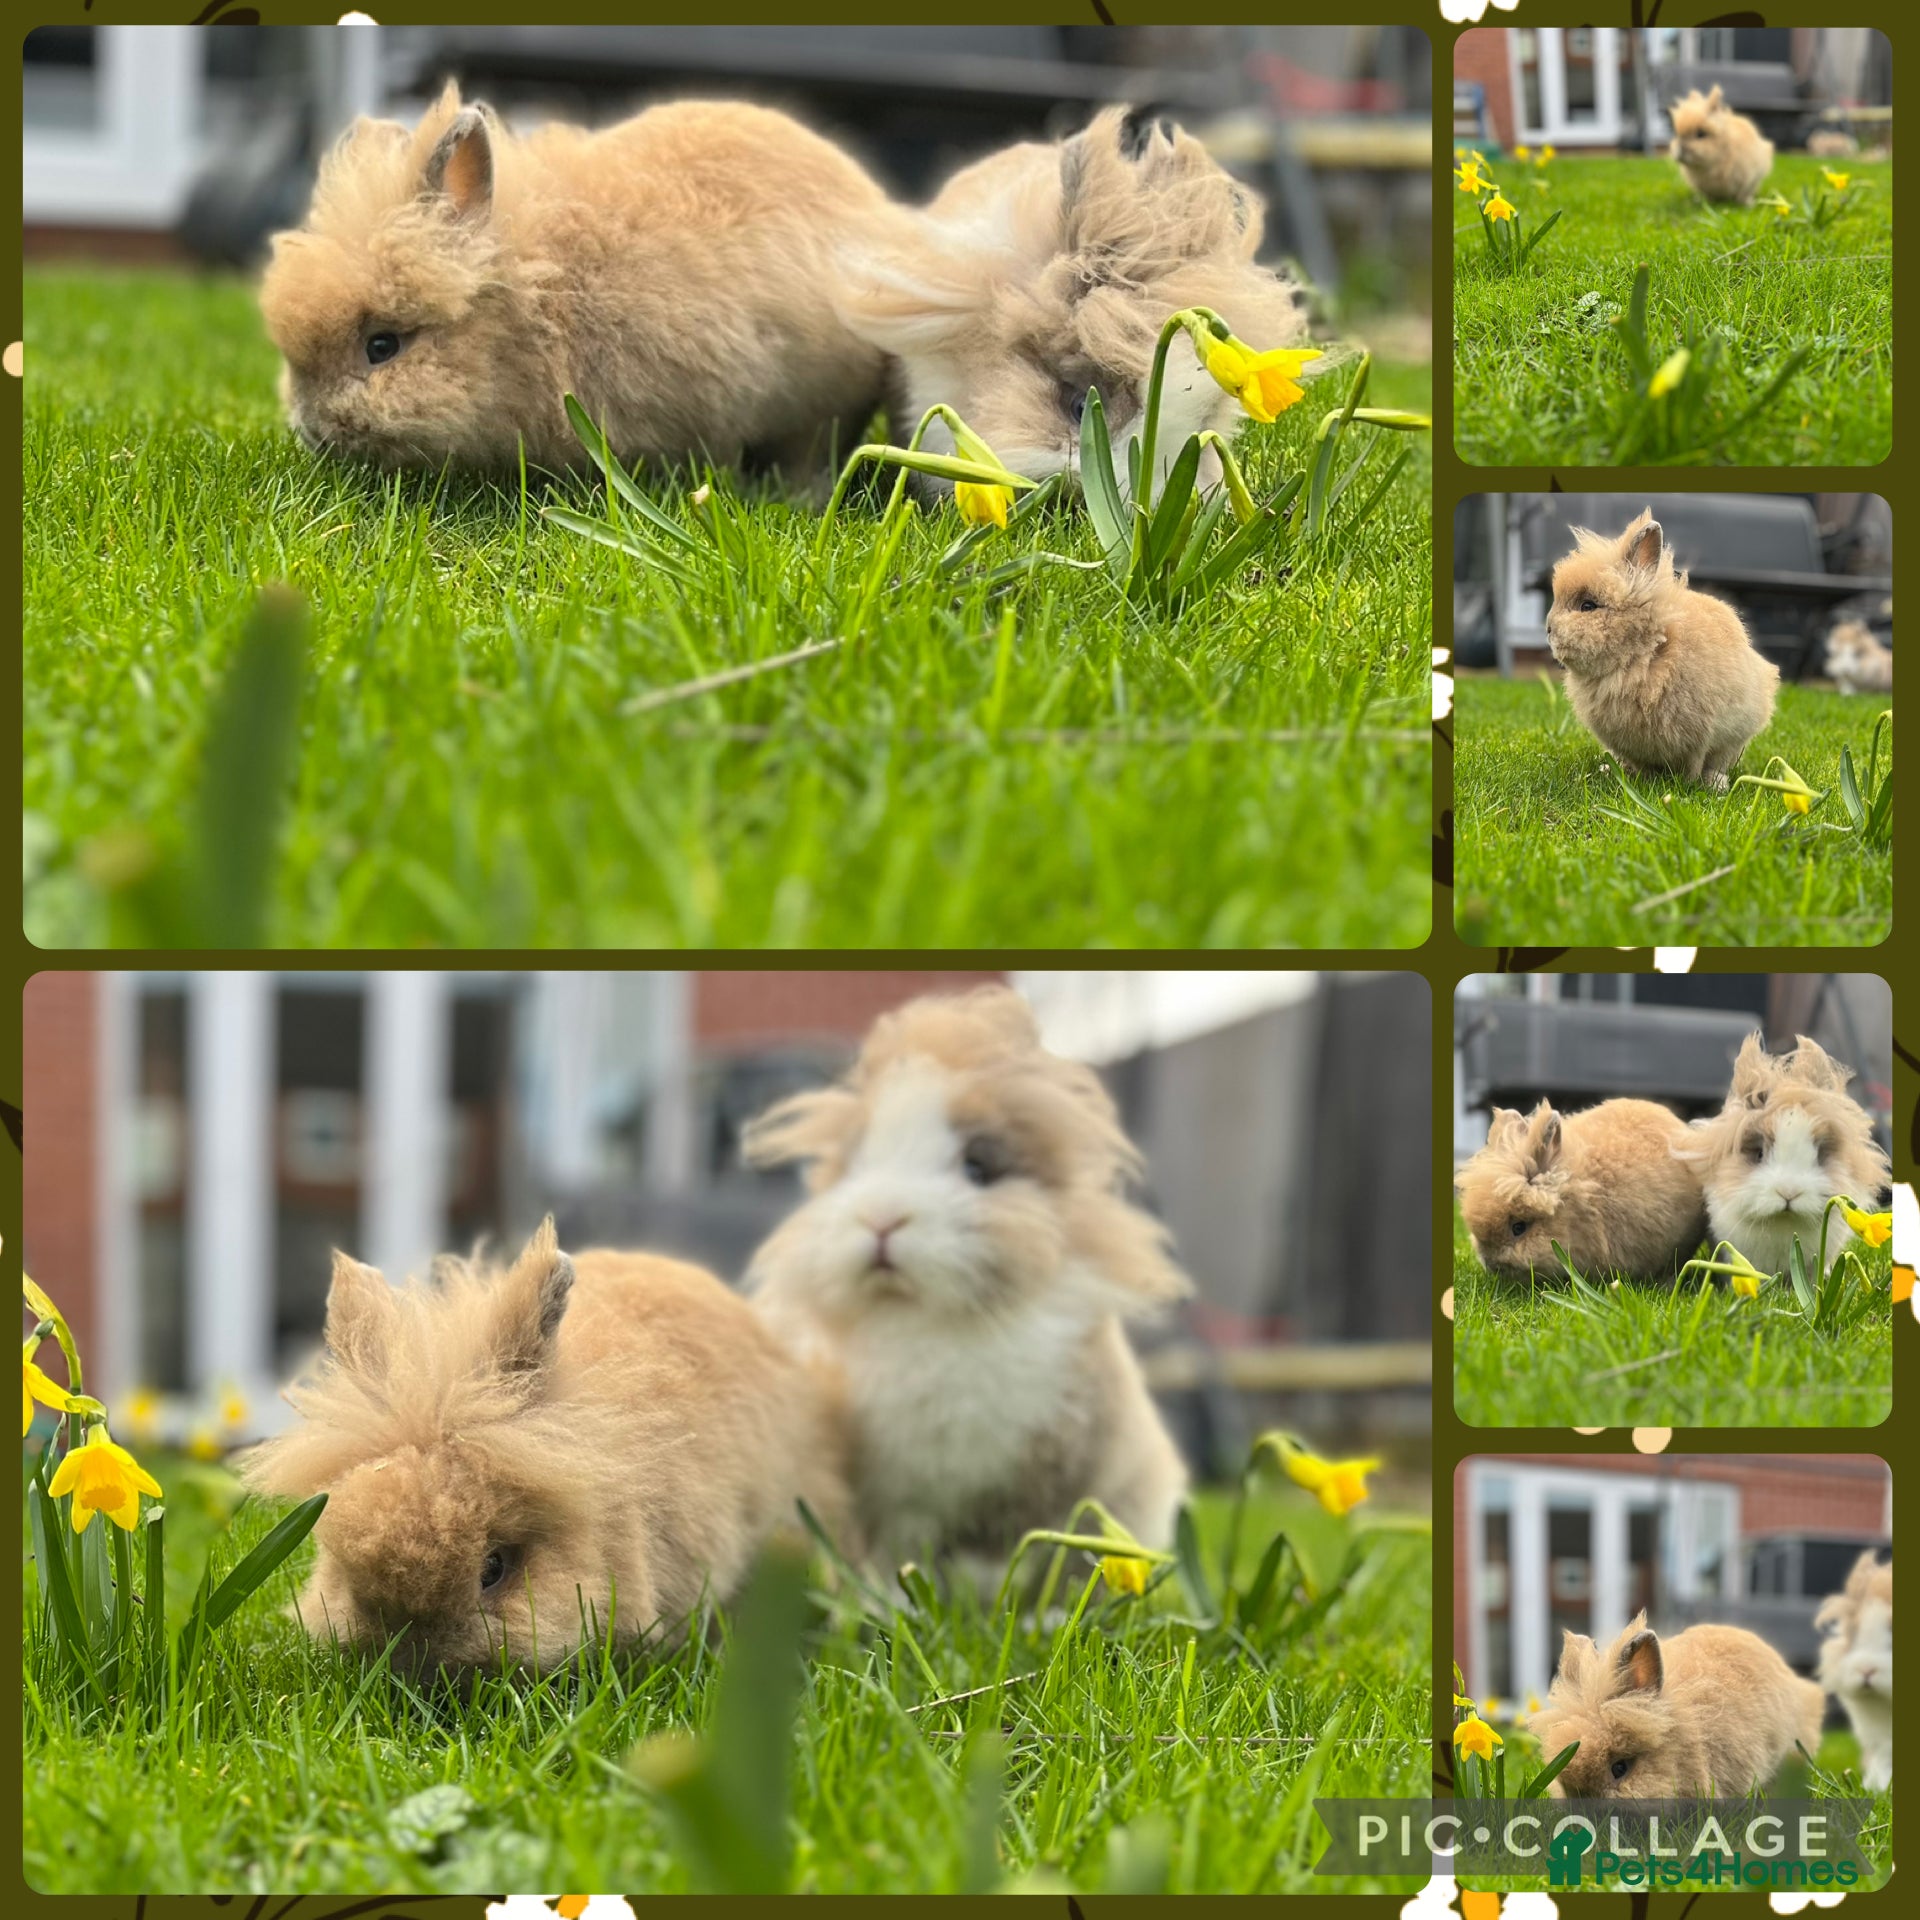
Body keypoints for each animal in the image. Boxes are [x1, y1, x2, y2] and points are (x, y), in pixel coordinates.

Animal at [740, 984, 1190, 1572]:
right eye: (853, 1168)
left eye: (979, 1169)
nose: (881, 1218)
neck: (927, 1323)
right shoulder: (896, 1504)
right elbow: (896, 1562)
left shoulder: (1050, 1483)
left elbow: (1038, 1555)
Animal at [1545, 509, 1780, 789]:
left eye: (1588, 606)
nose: (1548, 628)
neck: (1644, 654)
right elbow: (1640, 764)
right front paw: (1638, 777)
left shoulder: (1701, 737)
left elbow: (1695, 763)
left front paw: (1692, 785)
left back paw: (1716, 784)